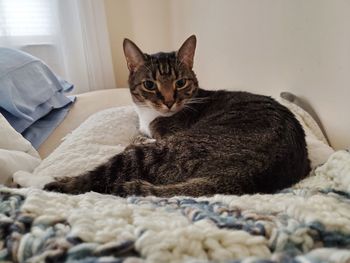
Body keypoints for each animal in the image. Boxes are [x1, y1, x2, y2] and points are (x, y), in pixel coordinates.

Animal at [43, 35, 308, 197]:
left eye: (180, 82)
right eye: (150, 85)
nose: (169, 101)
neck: (148, 115)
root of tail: (253, 175)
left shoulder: (163, 137)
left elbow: (138, 141)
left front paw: (138, 139)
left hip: (166, 151)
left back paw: (56, 183)